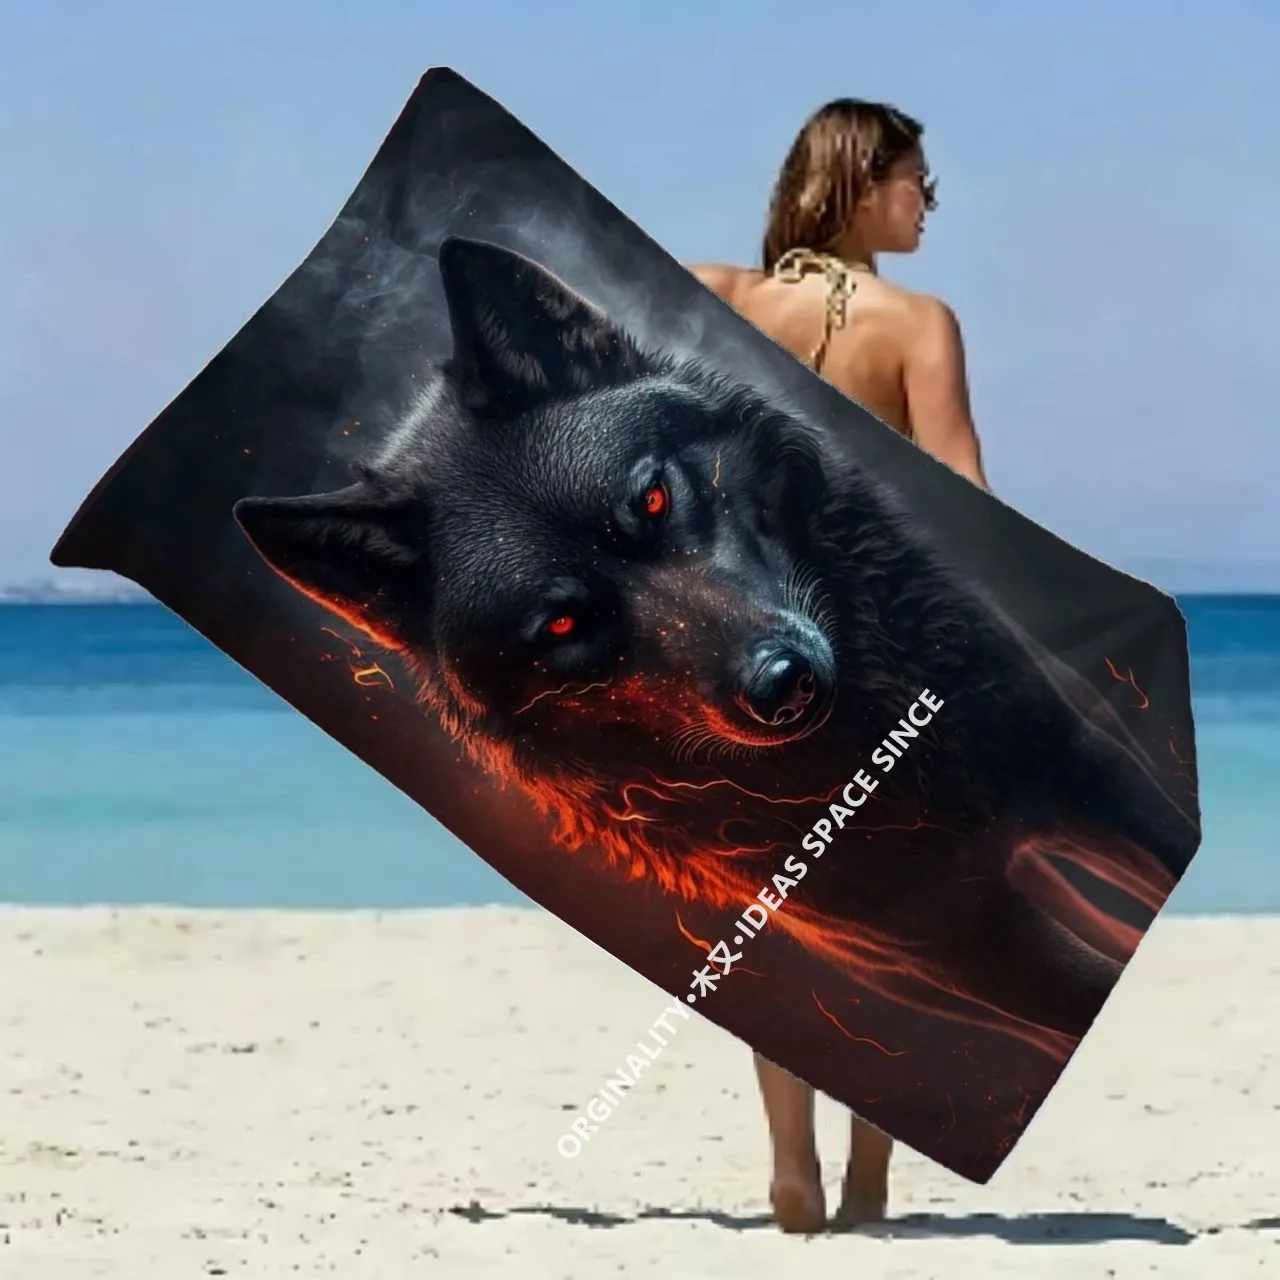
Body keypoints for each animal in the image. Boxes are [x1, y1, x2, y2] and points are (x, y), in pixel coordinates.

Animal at [233, 236, 1199, 1057]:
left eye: (653, 500)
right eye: (561, 627)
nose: (783, 684)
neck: (882, 759)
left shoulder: (1072, 758)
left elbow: (1158, 832)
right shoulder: (964, 947)